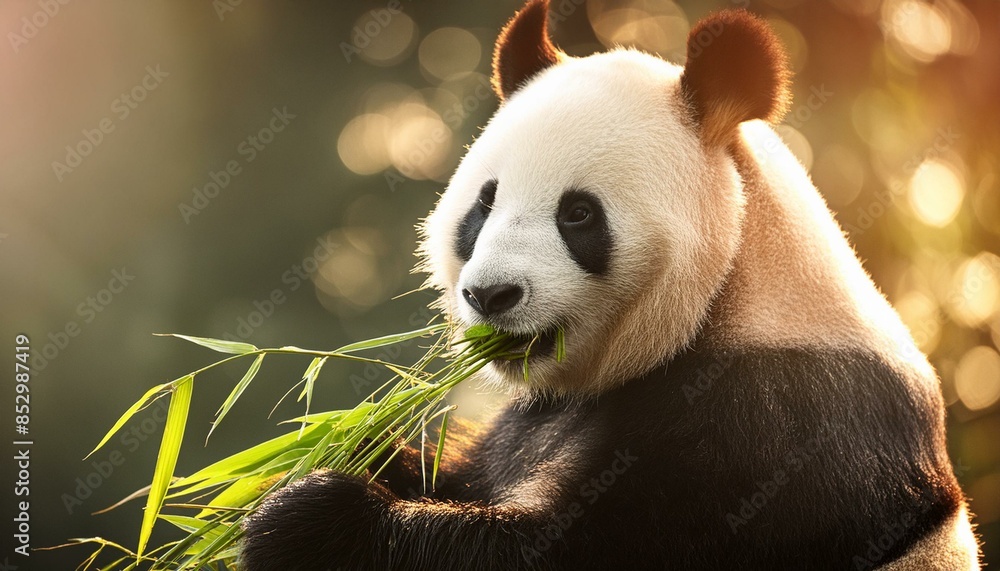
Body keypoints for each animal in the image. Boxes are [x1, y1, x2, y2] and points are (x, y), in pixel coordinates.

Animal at [241, 1, 981, 569]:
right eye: (484, 203)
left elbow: (585, 544)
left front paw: (305, 519)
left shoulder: (779, 428)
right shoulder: (529, 419)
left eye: (578, 214)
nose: (491, 296)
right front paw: (327, 455)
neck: (737, 290)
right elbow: (460, 471)